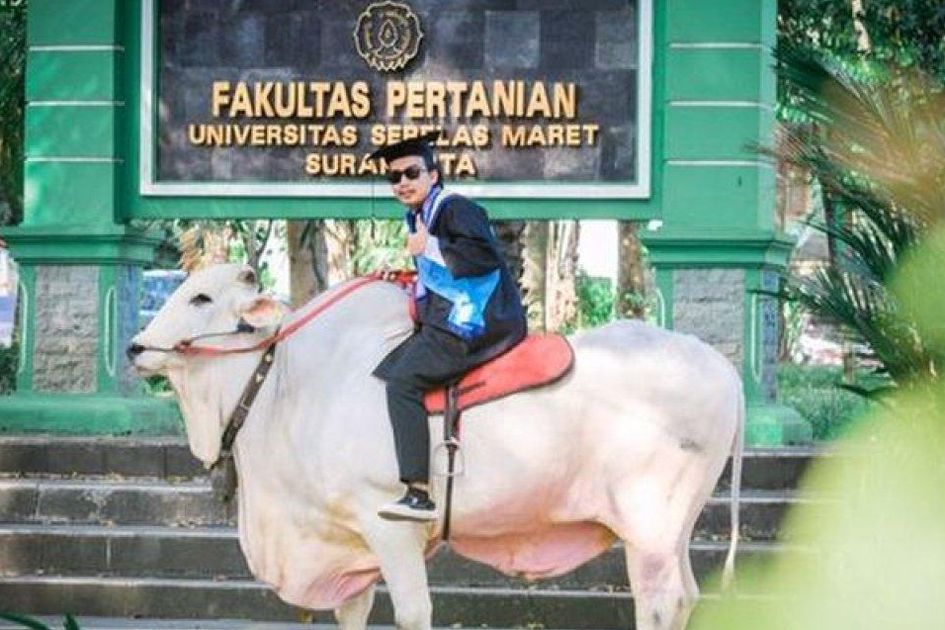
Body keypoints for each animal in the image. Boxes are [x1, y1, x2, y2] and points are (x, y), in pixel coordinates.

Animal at [129, 263, 744, 630]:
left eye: (201, 297)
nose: (136, 347)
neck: (284, 382)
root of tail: (723, 369)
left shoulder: (388, 527)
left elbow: (413, 611)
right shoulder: (344, 544)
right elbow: (353, 613)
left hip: (649, 527)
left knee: (660, 603)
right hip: (673, 530)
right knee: (686, 597)